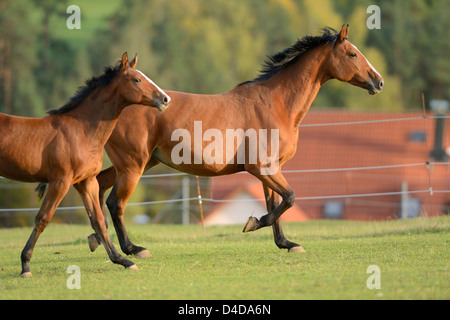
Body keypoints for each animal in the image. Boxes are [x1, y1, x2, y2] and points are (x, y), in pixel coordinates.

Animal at [0, 53, 171, 278]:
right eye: (137, 79)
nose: (165, 99)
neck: (81, 131)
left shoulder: (86, 181)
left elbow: (98, 221)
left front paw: (123, 260)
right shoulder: (60, 181)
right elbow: (43, 218)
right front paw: (25, 265)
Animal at [89, 24, 384, 258]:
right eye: (353, 54)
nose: (378, 82)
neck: (276, 103)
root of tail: (114, 107)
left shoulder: (271, 169)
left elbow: (275, 203)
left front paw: (286, 243)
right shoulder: (262, 168)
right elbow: (288, 198)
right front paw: (253, 223)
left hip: (135, 164)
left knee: (99, 187)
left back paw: (96, 238)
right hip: (133, 165)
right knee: (115, 203)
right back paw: (133, 249)